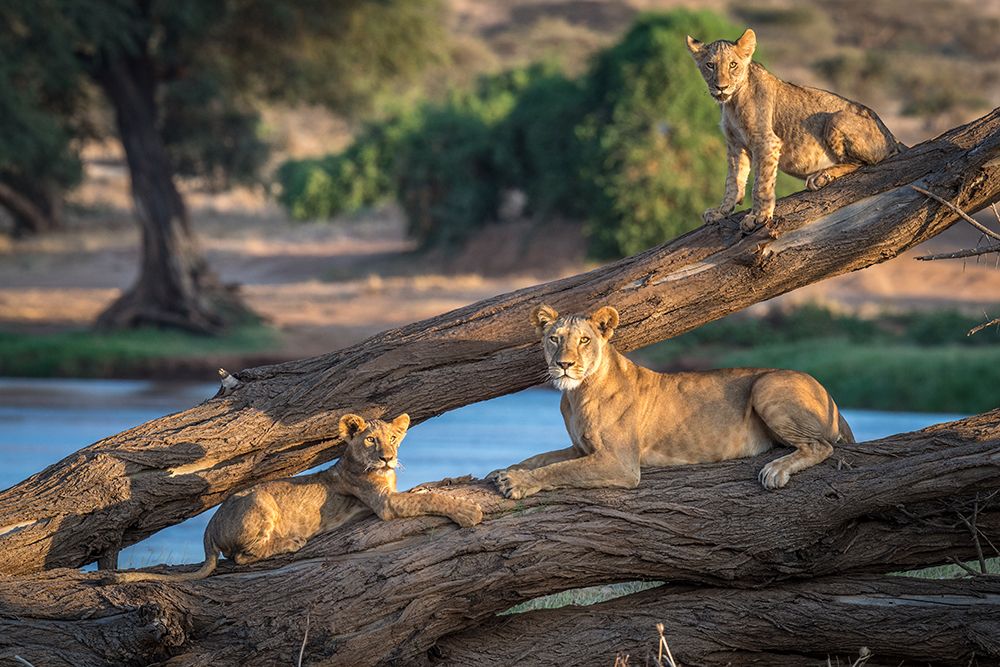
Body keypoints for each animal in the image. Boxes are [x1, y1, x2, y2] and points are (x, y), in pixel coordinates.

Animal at [112, 413, 483, 582]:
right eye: (370, 440)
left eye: (393, 438)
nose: (388, 458)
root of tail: (208, 527)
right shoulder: (386, 504)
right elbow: (430, 499)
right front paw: (469, 511)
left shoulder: (393, 493)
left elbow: (426, 488)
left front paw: (455, 480)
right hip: (260, 501)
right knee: (242, 557)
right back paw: (291, 542)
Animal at [491, 305, 854, 500]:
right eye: (554, 338)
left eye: (584, 340)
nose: (564, 364)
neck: (576, 393)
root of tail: (833, 398)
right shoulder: (582, 448)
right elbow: (541, 457)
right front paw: (502, 470)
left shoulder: (621, 463)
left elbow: (559, 469)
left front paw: (516, 482)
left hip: (766, 385)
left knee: (821, 445)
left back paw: (775, 470)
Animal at [686, 28, 902, 235]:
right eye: (710, 65)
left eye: (732, 65)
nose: (720, 87)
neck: (731, 102)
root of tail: (891, 137)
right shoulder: (735, 145)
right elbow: (732, 181)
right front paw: (721, 212)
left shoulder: (766, 142)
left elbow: (761, 184)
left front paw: (758, 217)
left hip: (836, 118)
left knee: (862, 163)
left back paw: (821, 177)